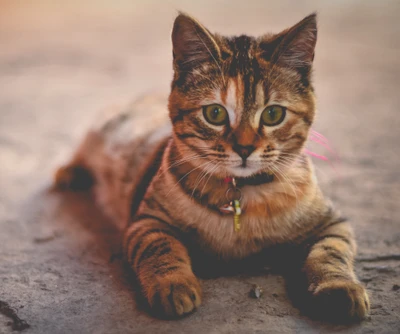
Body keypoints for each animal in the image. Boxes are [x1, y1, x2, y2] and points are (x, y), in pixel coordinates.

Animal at [54, 12, 370, 320]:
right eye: (215, 113)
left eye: (273, 114)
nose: (244, 148)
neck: (243, 197)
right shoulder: (147, 221)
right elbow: (161, 247)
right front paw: (173, 284)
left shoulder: (332, 223)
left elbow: (330, 253)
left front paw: (339, 287)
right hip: (103, 129)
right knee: (84, 146)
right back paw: (69, 172)